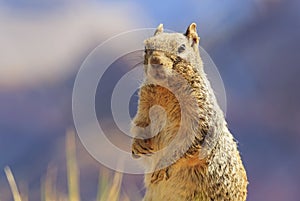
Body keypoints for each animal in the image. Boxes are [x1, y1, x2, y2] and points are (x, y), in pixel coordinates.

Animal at [130, 22, 247, 200]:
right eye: (146, 47)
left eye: (182, 48)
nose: (155, 60)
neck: (167, 89)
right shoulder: (145, 103)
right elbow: (141, 122)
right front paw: (137, 145)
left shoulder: (200, 116)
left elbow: (189, 143)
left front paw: (163, 166)